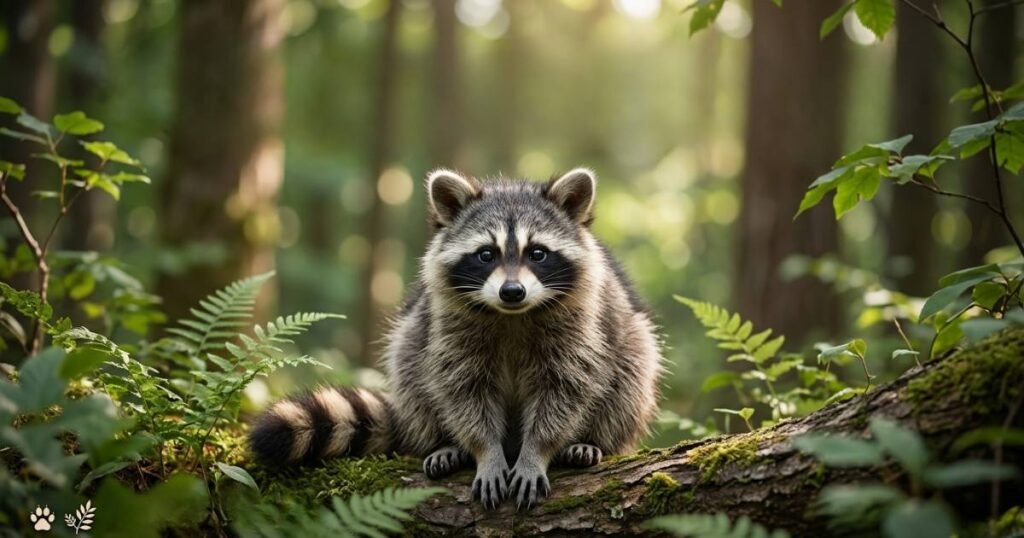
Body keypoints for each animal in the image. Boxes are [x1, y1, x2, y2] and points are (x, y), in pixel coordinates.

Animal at [249, 168, 664, 510]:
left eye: (537, 253)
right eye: (486, 254)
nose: (512, 292)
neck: (512, 316)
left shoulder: (580, 327)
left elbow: (565, 388)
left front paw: (537, 451)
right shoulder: (449, 325)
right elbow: (461, 388)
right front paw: (485, 452)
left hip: (628, 338)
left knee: (632, 369)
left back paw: (591, 442)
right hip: (415, 333)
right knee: (410, 362)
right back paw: (445, 444)